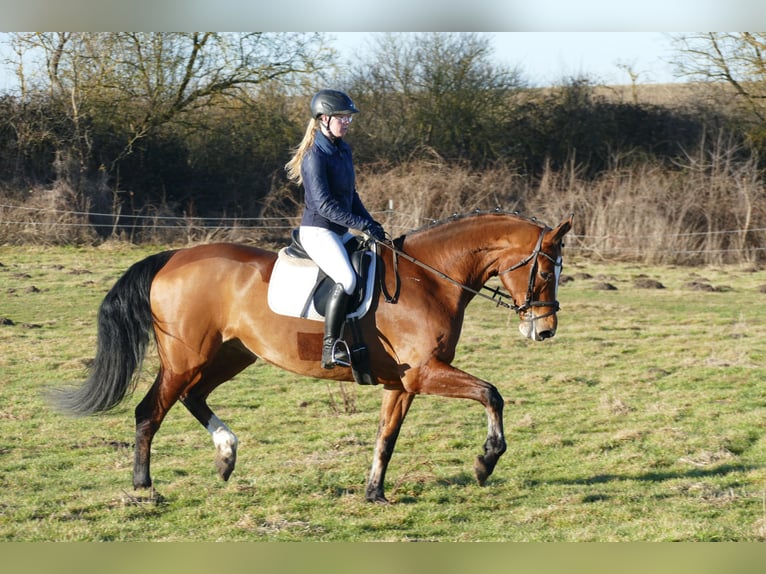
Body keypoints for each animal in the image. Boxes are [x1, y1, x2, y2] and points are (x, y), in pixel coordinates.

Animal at [52, 211, 573, 503]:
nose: (544, 330)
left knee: (191, 398)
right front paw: (486, 461)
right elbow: (492, 394)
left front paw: (375, 493)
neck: (429, 278)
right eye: (547, 271)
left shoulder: (402, 384)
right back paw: (145, 487)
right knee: (150, 410)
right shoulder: (425, 373)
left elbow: (386, 438)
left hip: (231, 355)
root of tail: (174, 256)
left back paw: (226, 455)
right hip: (187, 357)